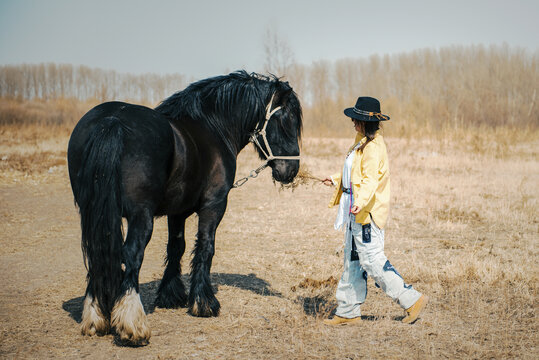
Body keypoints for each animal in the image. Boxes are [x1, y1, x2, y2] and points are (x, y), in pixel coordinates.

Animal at [67, 71, 302, 346]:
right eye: (286, 120)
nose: (291, 170)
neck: (213, 126)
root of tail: (112, 121)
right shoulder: (214, 205)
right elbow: (205, 247)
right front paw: (204, 303)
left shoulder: (176, 212)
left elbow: (176, 247)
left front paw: (171, 296)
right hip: (140, 216)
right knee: (131, 254)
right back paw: (132, 325)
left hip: (96, 212)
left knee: (97, 250)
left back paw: (96, 317)